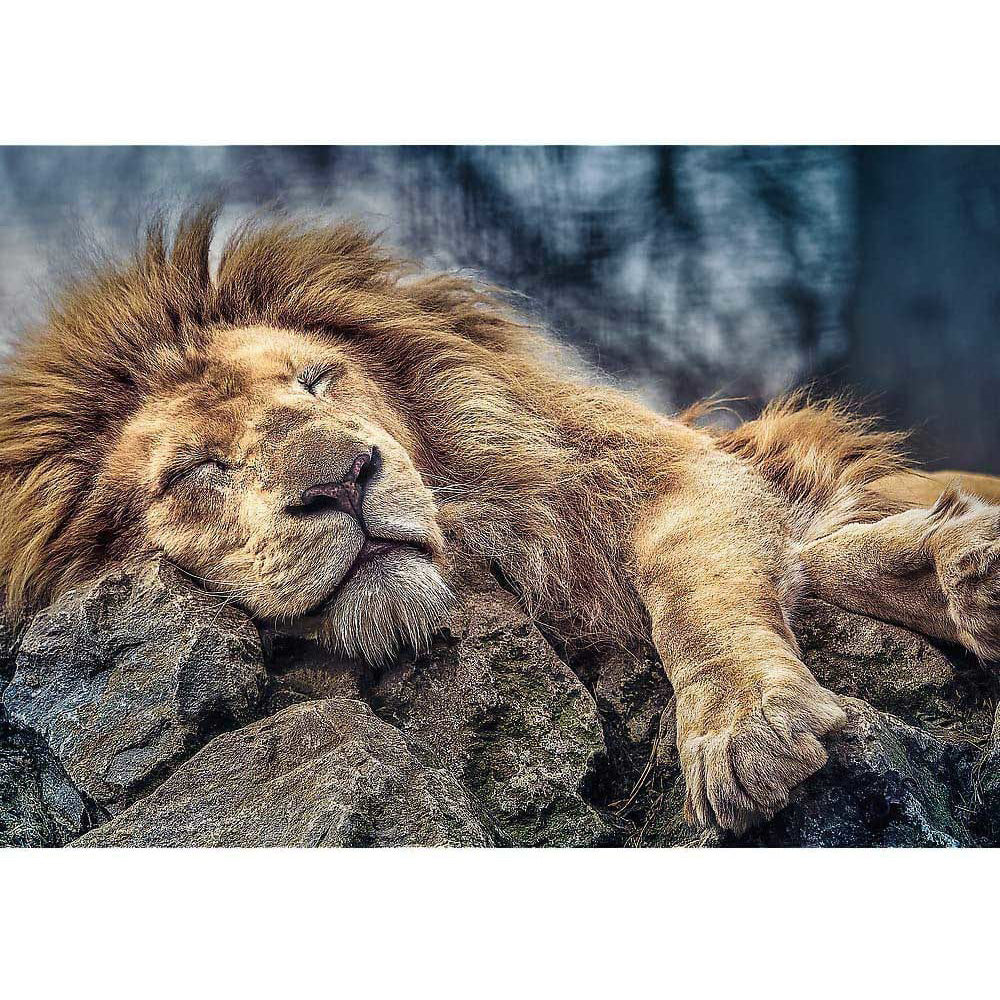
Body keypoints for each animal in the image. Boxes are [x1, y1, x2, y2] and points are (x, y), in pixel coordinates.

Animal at [2, 206, 999, 835]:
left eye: (316, 381)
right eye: (197, 469)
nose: (345, 480)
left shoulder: (670, 473)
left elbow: (697, 590)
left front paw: (745, 724)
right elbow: (819, 554)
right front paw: (950, 565)